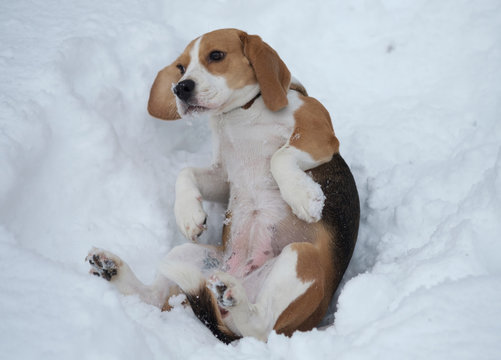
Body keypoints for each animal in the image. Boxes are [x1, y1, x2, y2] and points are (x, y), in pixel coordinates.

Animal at [87, 28, 360, 344]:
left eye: (216, 55)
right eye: (181, 67)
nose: (180, 88)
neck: (240, 113)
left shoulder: (319, 134)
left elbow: (279, 157)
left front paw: (303, 196)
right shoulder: (223, 175)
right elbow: (185, 172)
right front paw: (188, 214)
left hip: (301, 259)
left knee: (259, 329)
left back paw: (234, 295)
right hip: (187, 254)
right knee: (154, 297)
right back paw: (111, 268)